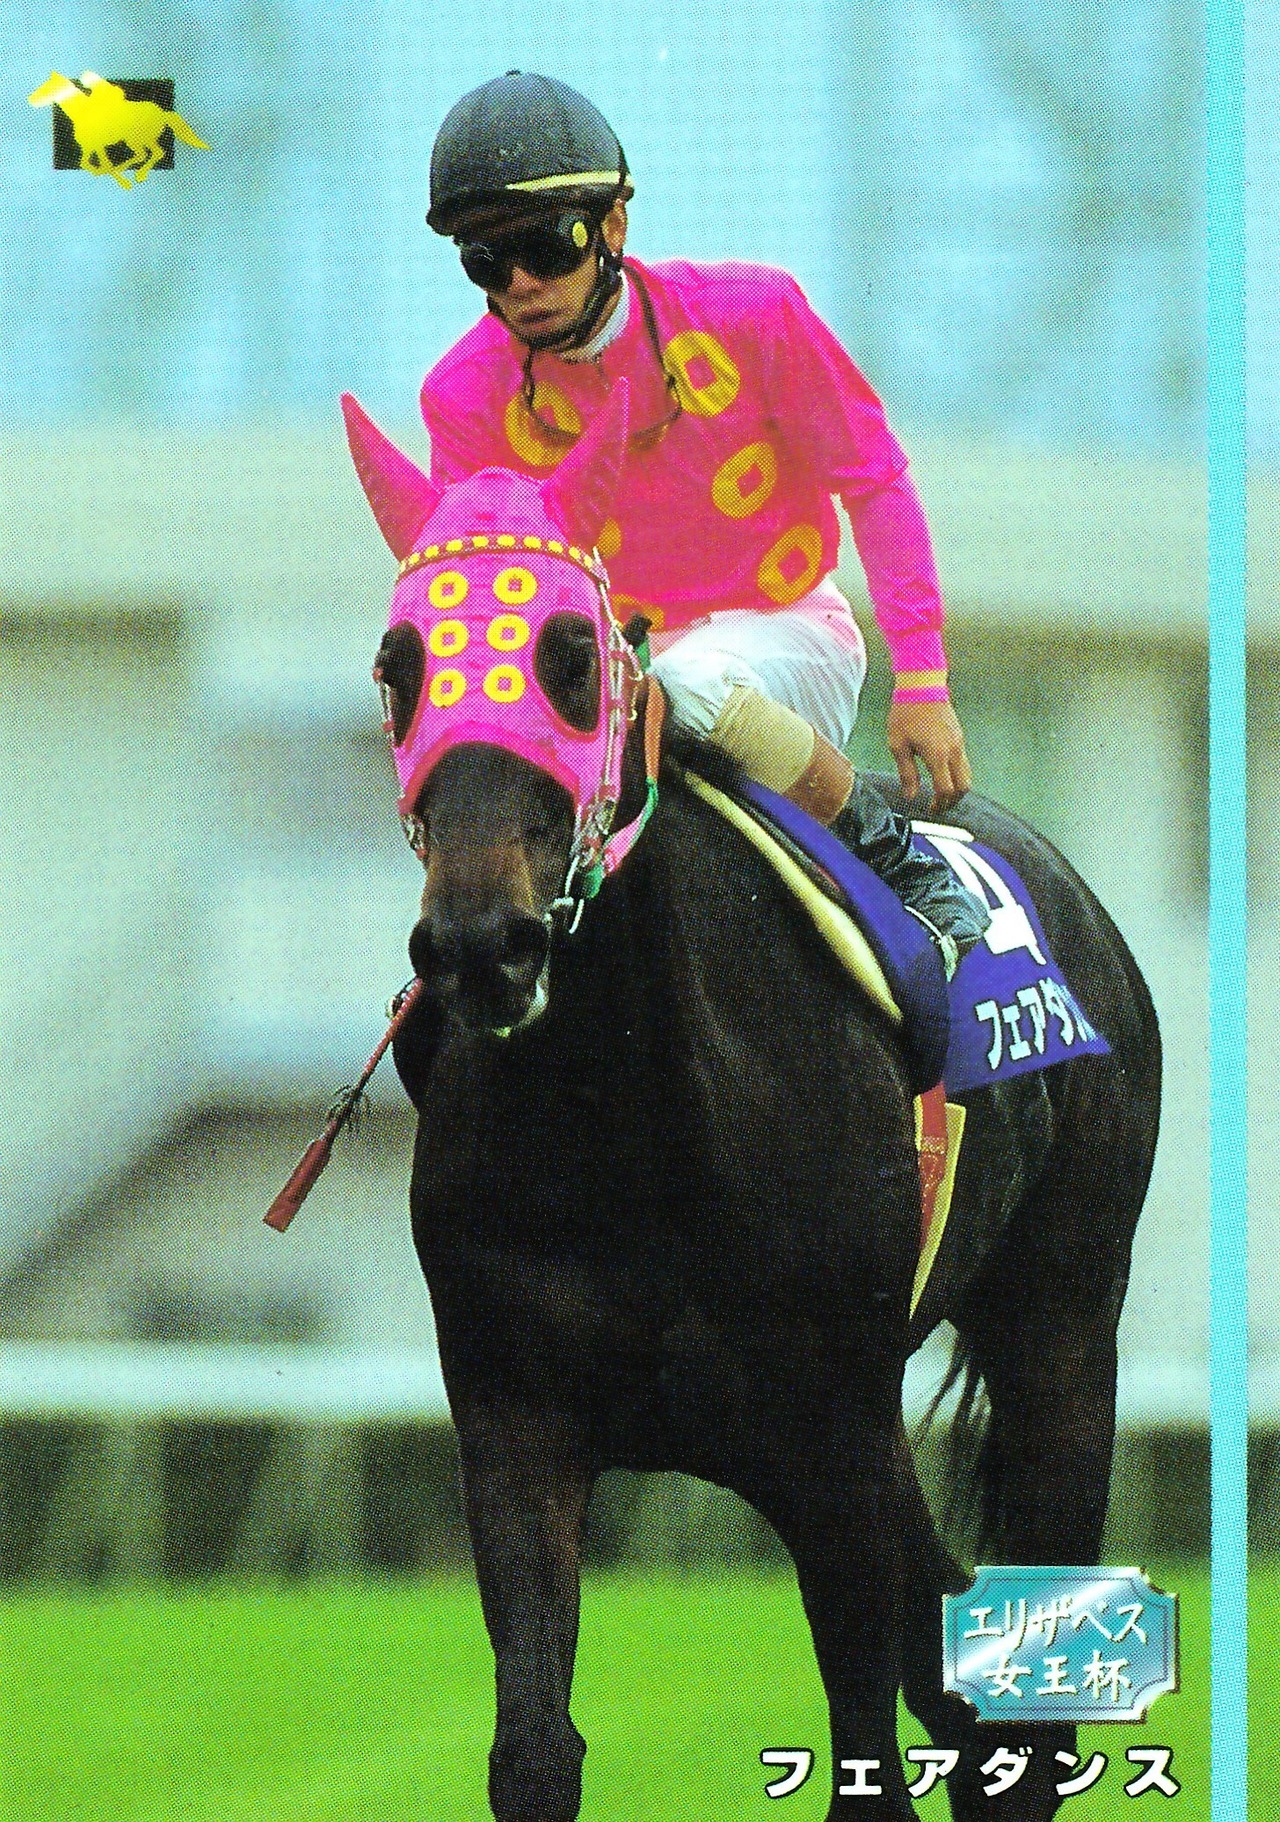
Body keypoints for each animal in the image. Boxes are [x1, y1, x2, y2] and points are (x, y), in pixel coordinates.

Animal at [28, 72, 208, 188]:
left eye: (45, 87)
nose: (30, 99)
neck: (82, 113)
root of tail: (163, 112)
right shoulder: (91, 148)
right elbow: (85, 163)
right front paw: (104, 172)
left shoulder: (97, 147)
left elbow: (102, 165)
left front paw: (118, 179)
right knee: (149, 154)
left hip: (136, 139)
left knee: (152, 153)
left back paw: (137, 174)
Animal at [341, 382, 1161, 1821]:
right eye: (399, 666)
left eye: (571, 653)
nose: (481, 944)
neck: (628, 1123)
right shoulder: (516, 1419)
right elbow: (534, 1750)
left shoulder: (825, 1431)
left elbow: (867, 1751)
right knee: (957, 1662)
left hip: (1061, 1322)